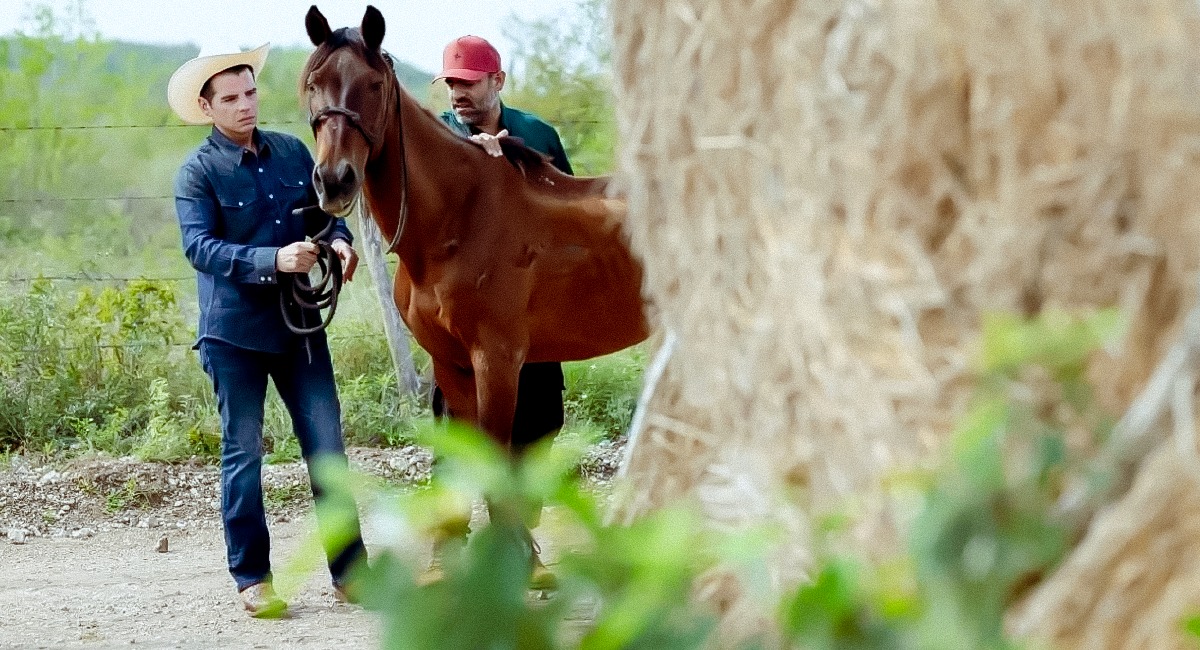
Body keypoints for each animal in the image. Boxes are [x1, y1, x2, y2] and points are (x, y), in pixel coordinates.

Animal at [300, 5, 649, 450]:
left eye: (374, 85)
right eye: (314, 83)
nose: (333, 181)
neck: (457, 220)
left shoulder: (496, 363)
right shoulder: (452, 366)